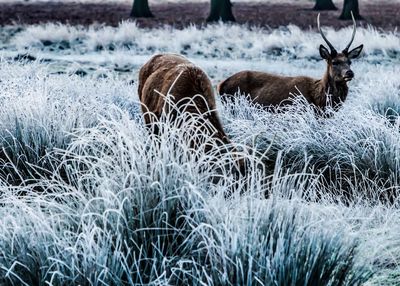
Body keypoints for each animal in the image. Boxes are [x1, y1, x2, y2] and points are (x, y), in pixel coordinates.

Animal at [217, 13, 364, 111]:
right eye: (334, 62)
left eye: (349, 61)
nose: (349, 73)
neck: (319, 101)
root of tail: (220, 85)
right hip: (234, 104)